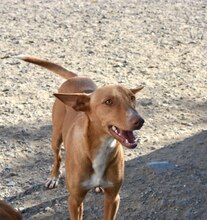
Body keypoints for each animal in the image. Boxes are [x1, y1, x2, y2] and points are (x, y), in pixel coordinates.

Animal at [17, 55, 145, 220]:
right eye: (108, 101)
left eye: (132, 97)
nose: (140, 121)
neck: (101, 148)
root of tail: (76, 77)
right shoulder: (75, 200)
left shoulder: (113, 197)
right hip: (56, 136)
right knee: (57, 157)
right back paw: (53, 177)